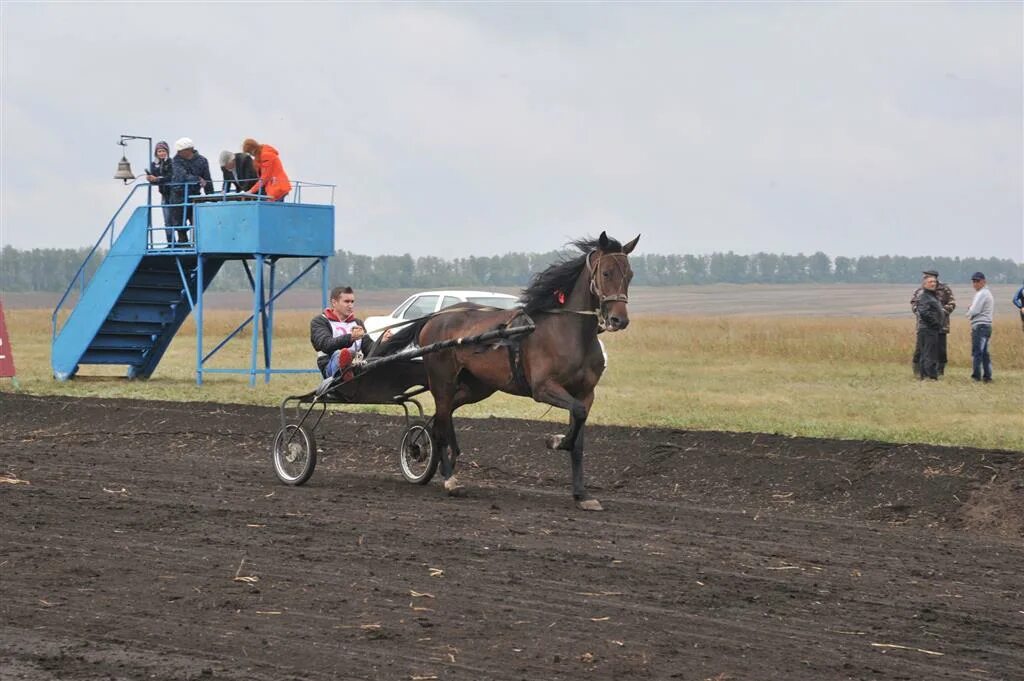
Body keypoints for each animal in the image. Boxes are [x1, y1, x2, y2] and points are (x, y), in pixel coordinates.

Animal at [387, 231, 634, 507]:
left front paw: (582, 494)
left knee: (445, 415)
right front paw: (556, 441)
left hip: (476, 387)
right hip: (443, 381)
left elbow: (579, 436)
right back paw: (448, 477)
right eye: (606, 273)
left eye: (630, 274)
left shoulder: (585, 393)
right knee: (440, 424)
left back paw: (442, 460)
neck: (568, 333)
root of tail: (434, 317)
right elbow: (576, 417)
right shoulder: (543, 388)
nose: (619, 320)